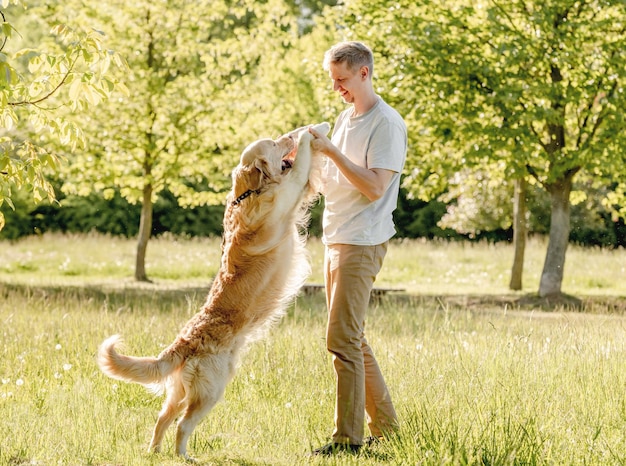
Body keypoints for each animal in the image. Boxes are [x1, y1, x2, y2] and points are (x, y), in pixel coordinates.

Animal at [97, 121, 330, 458]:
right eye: (275, 143)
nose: (287, 135)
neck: (250, 191)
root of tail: (182, 343)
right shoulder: (291, 187)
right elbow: (302, 163)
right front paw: (311, 132)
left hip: (180, 390)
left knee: (163, 416)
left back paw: (154, 451)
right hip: (211, 390)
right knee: (182, 424)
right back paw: (183, 456)